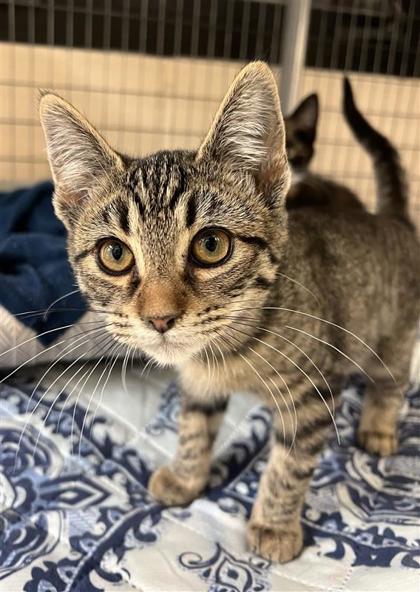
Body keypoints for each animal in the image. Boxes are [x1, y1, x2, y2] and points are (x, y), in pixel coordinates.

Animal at [40, 62, 420, 560]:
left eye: (211, 245)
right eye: (114, 254)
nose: (159, 318)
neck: (227, 351)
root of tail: (390, 218)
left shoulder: (315, 390)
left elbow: (290, 463)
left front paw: (275, 524)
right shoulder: (199, 384)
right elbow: (193, 428)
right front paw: (186, 476)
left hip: (394, 334)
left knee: (392, 379)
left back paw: (377, 426)